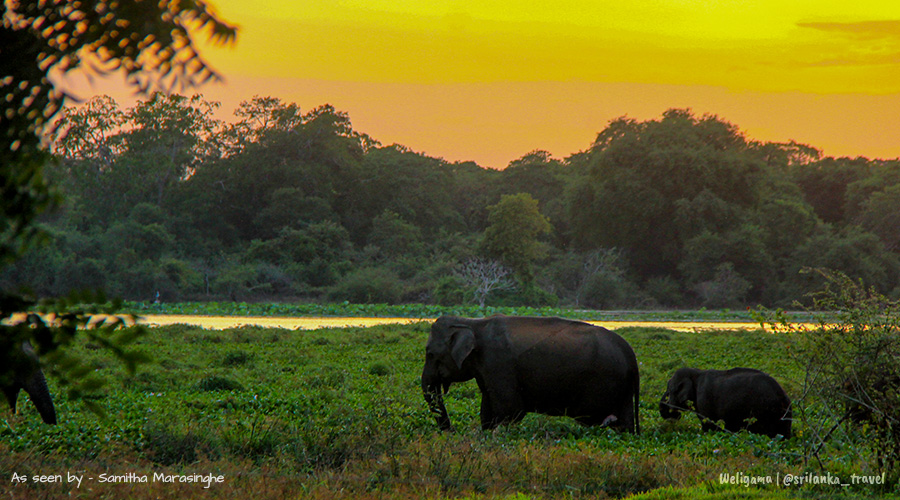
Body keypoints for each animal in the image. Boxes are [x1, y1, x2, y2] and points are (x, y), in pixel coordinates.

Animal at [422, 316, 640, 434]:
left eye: (430, 354)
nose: (452, 431)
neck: (474, 323)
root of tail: (631, 355)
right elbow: (487, 409)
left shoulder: (499, 364)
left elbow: (511, 410)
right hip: (622, 389)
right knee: (624, 423)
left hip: (605, 382)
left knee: (595, 420)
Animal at [656, 368, 792, 438]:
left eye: (670, 390)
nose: (675, 415)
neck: (696, 373)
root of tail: (783, 397)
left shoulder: (704, 400)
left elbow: (708, 426)